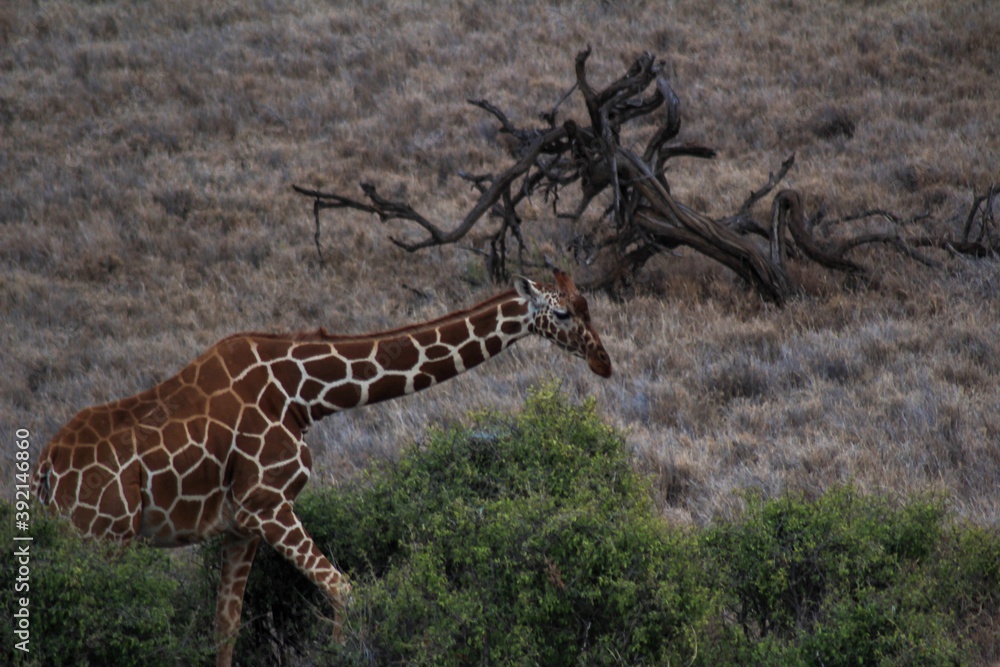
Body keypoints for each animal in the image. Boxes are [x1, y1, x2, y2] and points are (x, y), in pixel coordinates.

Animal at [31, 269, 612, 667]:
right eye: (563, 314)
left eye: (589, 305)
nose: (603, 362)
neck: (303, 394)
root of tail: (45, 468)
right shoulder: (267, 504)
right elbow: (348, 593)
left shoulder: (241, 524)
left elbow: (227, 627)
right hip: (102, 538)